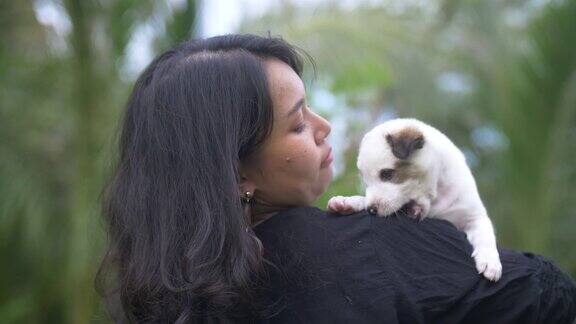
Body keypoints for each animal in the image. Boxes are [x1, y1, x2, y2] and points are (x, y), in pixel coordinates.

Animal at [330, 118, 502, 280]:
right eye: (366, 182)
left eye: (386, 174)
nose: (372, 210)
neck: (436, 199)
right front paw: (348, 201)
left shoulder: (474, 216)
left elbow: (486, 235)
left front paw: (490, 261)